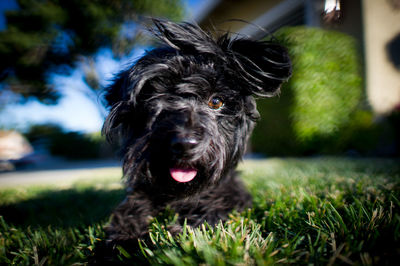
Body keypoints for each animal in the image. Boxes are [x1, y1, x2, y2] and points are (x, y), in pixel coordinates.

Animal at [103, 19, 290, 248]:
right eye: (152, 99)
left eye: (216, 101)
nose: (185, 144)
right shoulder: (138, 196)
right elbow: (129, 214)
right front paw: (125, 239)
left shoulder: (231, 194)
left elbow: (211, 213)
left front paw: (177, 232)